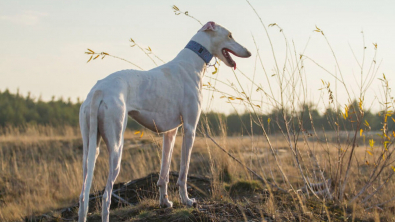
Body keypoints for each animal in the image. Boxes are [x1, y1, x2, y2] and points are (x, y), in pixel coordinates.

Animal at [78, 21, 251, 222]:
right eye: (230, 35)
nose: (249, 52)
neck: (192, 62)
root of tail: (99, 90)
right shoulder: (190, 129)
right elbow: (183, 172)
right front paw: (187, 200)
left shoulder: (170, 132)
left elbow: (164, 173)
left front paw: (165, 202)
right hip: (116, 147)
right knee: (106, 196)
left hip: (90, 147)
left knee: (83, 196)